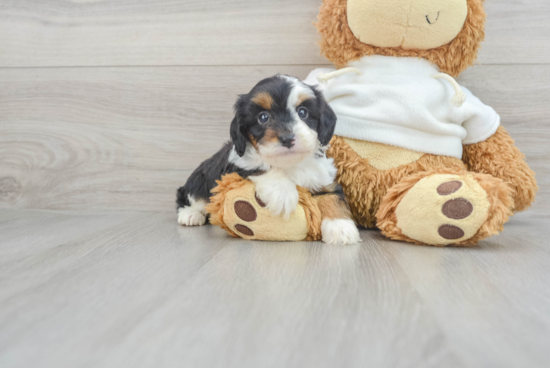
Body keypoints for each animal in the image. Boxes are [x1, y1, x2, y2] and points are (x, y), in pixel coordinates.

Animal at [177, 74, 362, 244]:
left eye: (303, 112)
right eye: (263, 117)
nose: (287, 138)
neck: (290, 163)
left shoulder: (323, 176)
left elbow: (332, 196)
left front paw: (340, 227)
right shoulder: (237, 164)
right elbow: (262, 167)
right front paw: (283, 194)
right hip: (199, 180)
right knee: (188, 195)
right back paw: (190, 214)